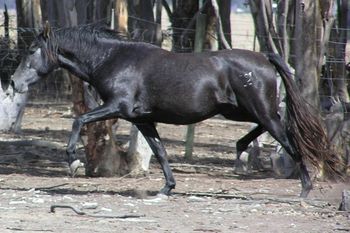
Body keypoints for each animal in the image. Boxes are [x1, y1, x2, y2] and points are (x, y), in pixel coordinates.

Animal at [10, 22, 340, 197]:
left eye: (31, 51)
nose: (13, 82)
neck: (113, 59)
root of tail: (264, 57)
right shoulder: (142, 120)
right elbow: (159, 152)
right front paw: (166, 188)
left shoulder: (117, 106)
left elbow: (79, 120)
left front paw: (73, 162)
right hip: (240, 110)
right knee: (274, 127)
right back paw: (241, 150)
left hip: (259, 110)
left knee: (288, 137)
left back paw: (304, 189)